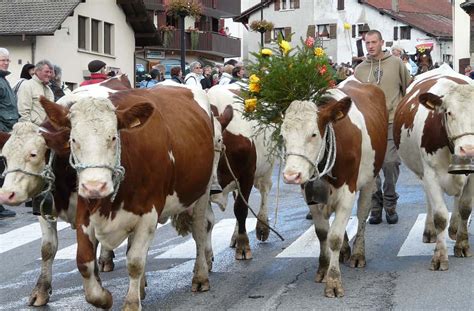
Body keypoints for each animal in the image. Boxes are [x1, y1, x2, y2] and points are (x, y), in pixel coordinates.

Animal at [0, 75, 131, 308]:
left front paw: (96, 283)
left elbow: (89, 245)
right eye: (4, 158)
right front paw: (41, 291)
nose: (7, 194)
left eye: (33, 154)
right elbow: (48, 248)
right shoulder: (43, 205)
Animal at [40, 84, 215, 310]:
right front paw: (104, 297)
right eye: (73, 140)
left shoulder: (149, 212)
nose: (95, 186)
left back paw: (200, 276)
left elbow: (135, 261)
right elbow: (84, 261)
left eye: (113, 137)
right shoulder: (84, 210)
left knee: (200, 231)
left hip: (202, 191)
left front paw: (131, 303)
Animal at [206, 84, 276, 260]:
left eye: (218, 140)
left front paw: (244, 246)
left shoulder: (247, 175)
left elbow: (241, 209)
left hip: (268, 166)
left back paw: (262, 228)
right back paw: (235, 236)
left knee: (265, 190)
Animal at [280, 81, 386, 298]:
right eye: (282, 135)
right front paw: (323, 268)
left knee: (362, 215)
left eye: (313, 134)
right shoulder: (309, 193)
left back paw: (357, 254)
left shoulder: (348, 191)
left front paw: (334, 280)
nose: (291, 175)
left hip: (370, 178)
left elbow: (334, 238)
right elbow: (322, 233)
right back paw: (345, 251)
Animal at [392, 64, 474, 270]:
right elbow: (440, 216)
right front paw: (439, 256)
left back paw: (454, 229)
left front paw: (462, 244)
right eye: (449, 112)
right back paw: (429, 231)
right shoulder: (431, 174)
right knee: (429, 200)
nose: (468, 150)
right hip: (421, 173)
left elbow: (465, 208)